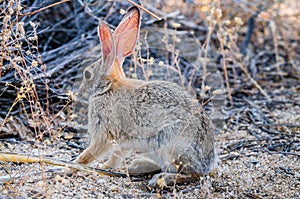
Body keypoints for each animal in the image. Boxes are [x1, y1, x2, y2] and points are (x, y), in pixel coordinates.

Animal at [75, 5, 216, 187]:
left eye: (87, 74)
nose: (80, 89)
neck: (109, 88)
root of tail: (207, 163)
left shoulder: (104, 133)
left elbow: (89, 155)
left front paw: (69, 167)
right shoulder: (121, 142)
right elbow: (115, 156)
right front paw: (106, 167)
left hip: (169, 144)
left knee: (192, 174)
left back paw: (160, 179)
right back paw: (137, 165)